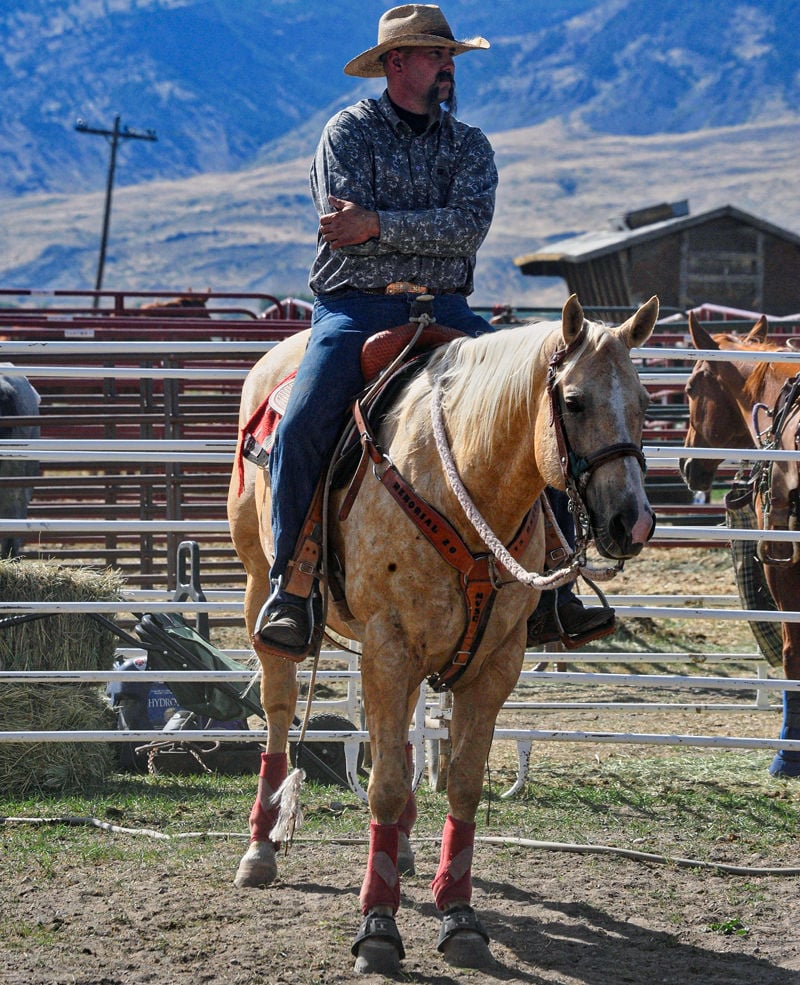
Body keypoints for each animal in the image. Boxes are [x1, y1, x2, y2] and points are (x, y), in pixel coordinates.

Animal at [228, 292, 660, 968]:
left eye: (643, 404)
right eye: (573, 401)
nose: (632, 522)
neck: (458, 484)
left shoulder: (495, 661)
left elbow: (461, 784)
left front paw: (458, 915)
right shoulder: (388, 645)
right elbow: (381, 787)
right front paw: (378, 926)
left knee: (400, 731)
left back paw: (402, 852)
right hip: (256, 588)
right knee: (277, 710)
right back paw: (262, 846)